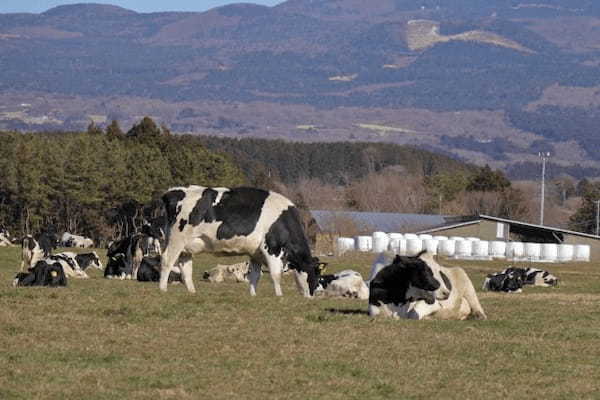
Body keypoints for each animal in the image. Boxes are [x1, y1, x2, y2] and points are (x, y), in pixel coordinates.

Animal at [157, 186, 322, 296]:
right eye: (314, 275)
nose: (312, 295)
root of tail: (172, 191)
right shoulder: (271, 248)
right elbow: (276, 274)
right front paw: (279, 296)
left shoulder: (255, 253)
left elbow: (255, 275)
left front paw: (253, 295)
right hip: (176, 239)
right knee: (167, 260)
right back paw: (162, 289)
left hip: (186, 246)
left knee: (185, 267)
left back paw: (192, 291)